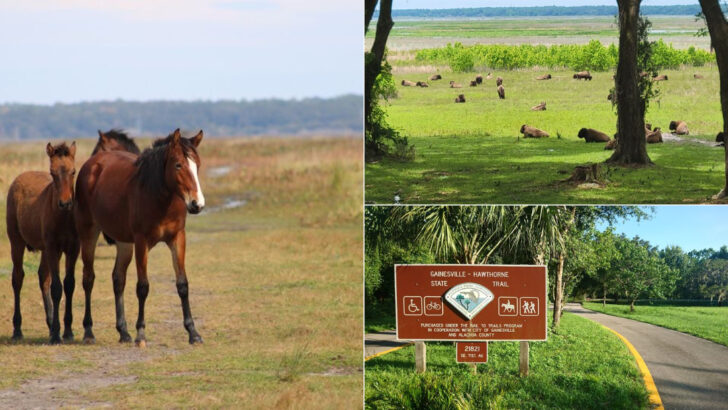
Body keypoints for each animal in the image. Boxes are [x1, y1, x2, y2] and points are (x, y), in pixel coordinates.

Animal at [6, 142, 79, 343]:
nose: (65, 203)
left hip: (45, 250)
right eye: (52, 172)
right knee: (17, 278)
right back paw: (17, 329)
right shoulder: (53, 248)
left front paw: (67, 331)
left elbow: (69, 284)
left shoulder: (72, 249)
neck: (63, 218)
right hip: (16, 242)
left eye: (73, 171)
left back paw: (50, 322)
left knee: (43, 277)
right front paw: (56, 335)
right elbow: (57, 288)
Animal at [74, 129, 205, 345]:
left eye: (198, 165)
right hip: (88, 233)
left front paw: (193, 333)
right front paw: (141, 333)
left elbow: (182, 285)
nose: (197, 204)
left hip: (124, 243)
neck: (159, 196)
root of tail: (91, 164)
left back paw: (123, 332)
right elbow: (143, 287)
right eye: (178, 165)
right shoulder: (142, 242)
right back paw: (89, 331)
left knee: (118, 278)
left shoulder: (177, 239)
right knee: (88, 278)